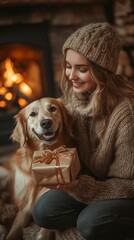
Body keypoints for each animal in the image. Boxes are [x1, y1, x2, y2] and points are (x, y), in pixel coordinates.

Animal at [6, 97, 73, 240]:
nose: (46, 122)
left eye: (52, 108)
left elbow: (44, 231)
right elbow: (12, 231)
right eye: (32, 114)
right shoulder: (23, 209)